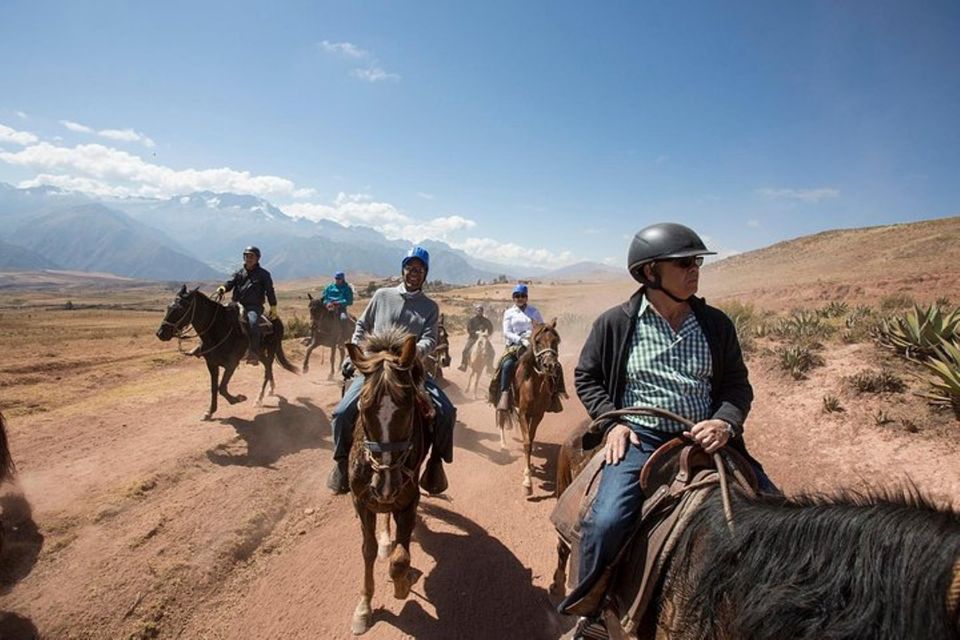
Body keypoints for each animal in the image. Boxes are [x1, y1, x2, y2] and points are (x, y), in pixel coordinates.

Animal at [156, 284, 298, 420]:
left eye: (180, 309)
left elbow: (222, 388)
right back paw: (270, 390)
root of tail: (275, 318)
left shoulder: (232, 364)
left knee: (268, 370)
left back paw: (259, 398)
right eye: (168, 307)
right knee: (268, 367)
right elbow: (214, 388)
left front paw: (237, 398)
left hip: (271, 348)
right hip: (261, 352)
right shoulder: (212, 364)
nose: (160, 333)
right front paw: (210, 412)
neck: (219, 329)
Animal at [344, 330, 432, 636]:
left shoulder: (409, 500)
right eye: (363, 407)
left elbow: (401, 558)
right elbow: (367, 550)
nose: (385, 483)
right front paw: (363, 608)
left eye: (407, 407)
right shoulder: (361, 501)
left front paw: (403, 585)